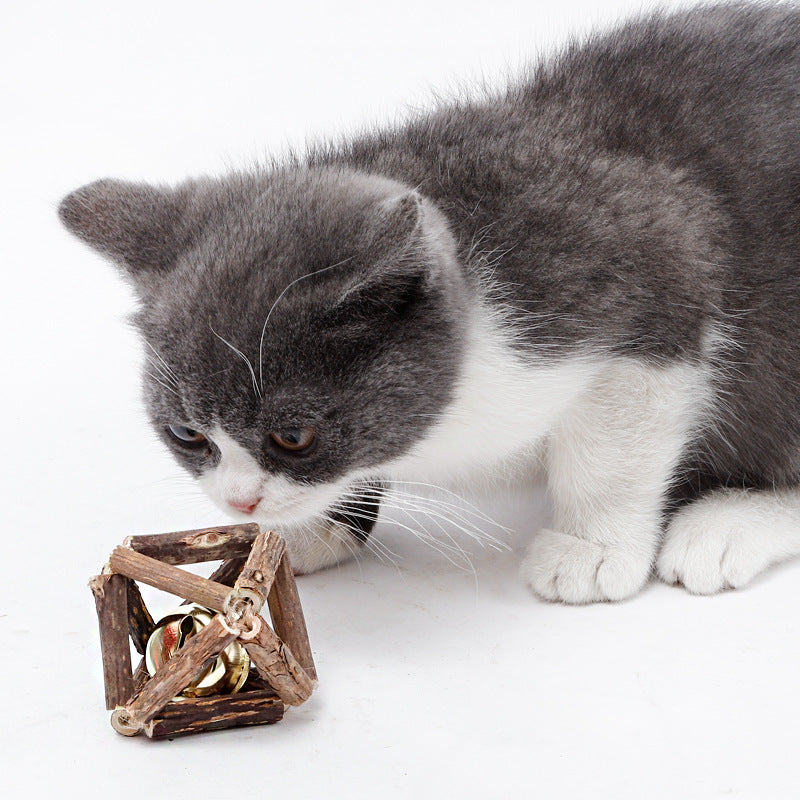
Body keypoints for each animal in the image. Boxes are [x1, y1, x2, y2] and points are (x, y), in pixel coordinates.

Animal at [59, 0, 800, 600]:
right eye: (188, 435)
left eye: (293, 437)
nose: (243, 505)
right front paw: (306, 530)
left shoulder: (649, 273)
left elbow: (614, 445)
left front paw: (592, 547)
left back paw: (727, 523)